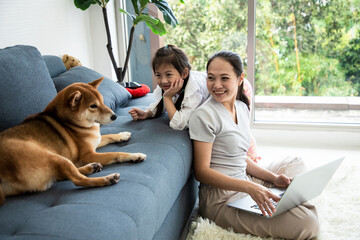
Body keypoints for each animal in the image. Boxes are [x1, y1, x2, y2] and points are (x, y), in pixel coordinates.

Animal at [0, 78, 146, 205]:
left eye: (103, 101)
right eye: (93, 106)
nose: (115, 116)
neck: (69, 123)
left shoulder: (95, 141)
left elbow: (108, 136)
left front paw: (122, 135)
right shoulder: (88, 154)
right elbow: (116, 154)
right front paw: (135, 155)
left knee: (64, 175)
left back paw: (91, 167)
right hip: (53, 157)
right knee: (78, 180)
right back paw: (107, 178)